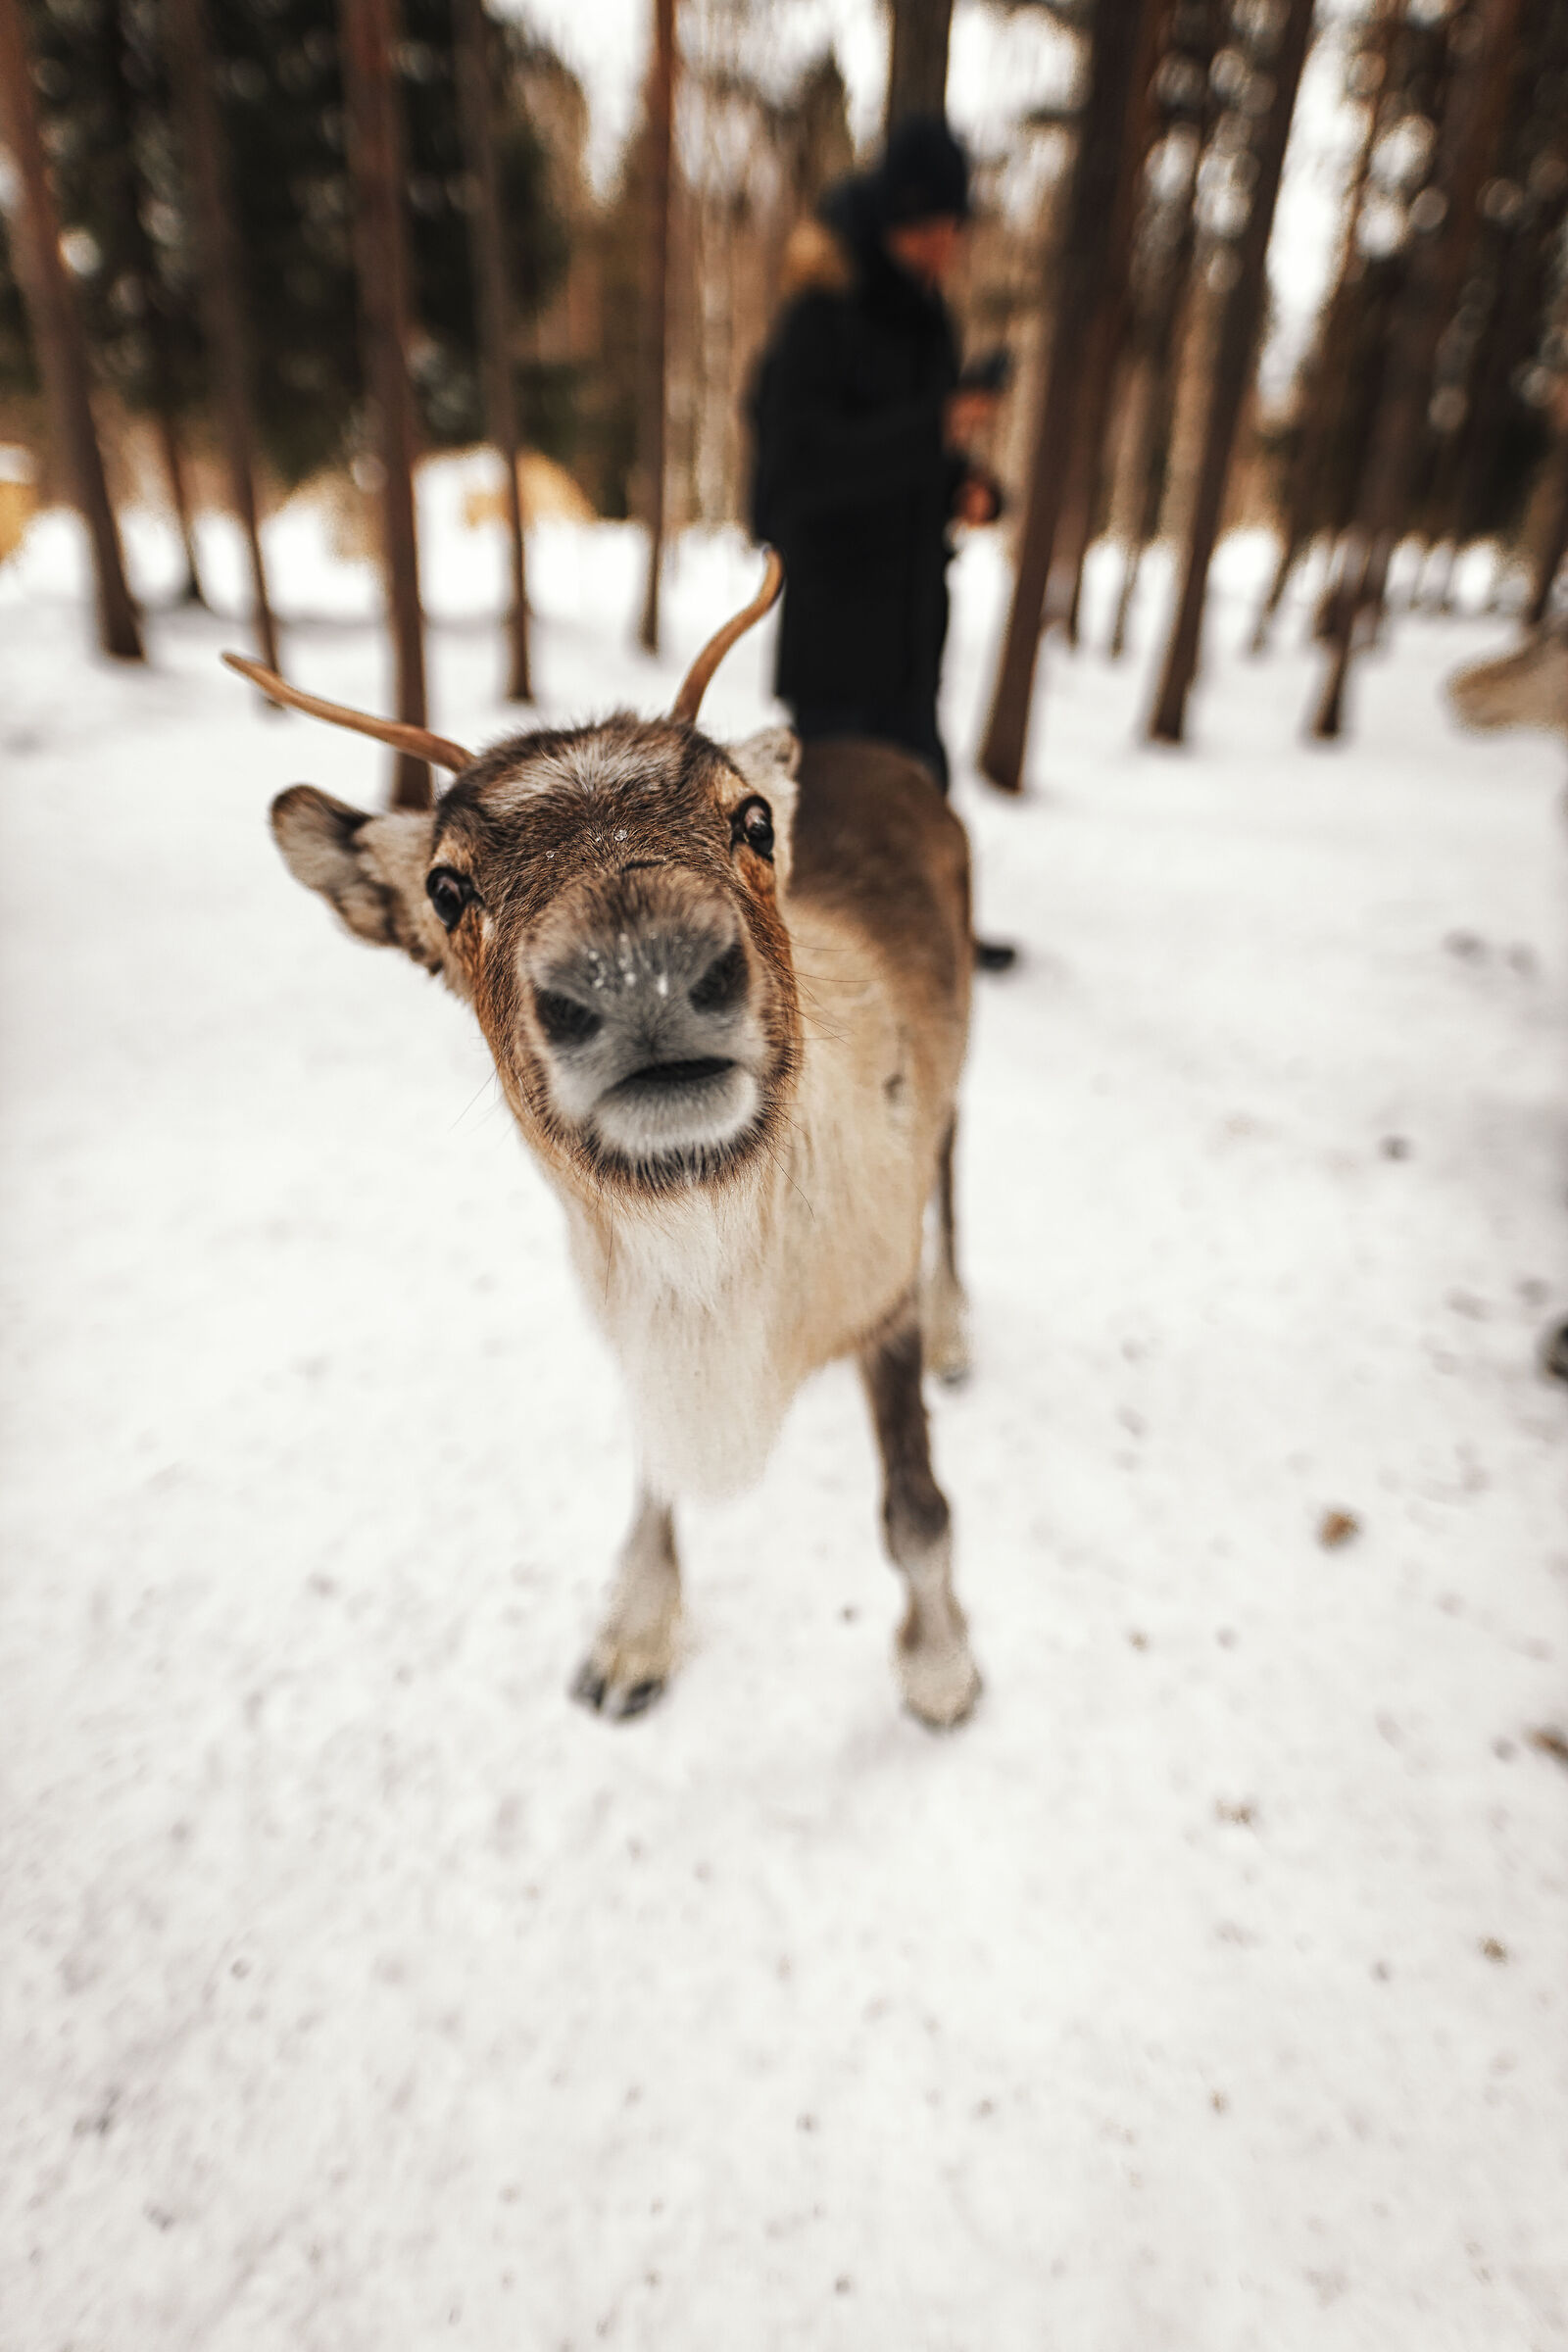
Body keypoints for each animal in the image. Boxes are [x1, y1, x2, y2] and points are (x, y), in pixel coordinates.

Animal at [235, 553, 982, 1729]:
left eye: (752, 821)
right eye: (446, 885)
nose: (641, 972)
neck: (722, 1261)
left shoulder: (879, 1297)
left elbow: (916, 1508)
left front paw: (941, 1670)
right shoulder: (642, 1328)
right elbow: (656, 1476)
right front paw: (633, 1634)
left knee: (952, 1180)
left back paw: (961, 1332)